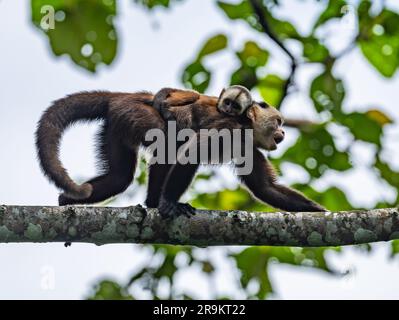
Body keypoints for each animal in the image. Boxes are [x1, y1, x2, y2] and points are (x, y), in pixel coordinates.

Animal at [36, 87, 326, 218]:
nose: (283, 133)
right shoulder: (229, 128)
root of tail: (125, 96)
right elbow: (192, 153)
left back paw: (66, 199)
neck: (246, 125)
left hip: (117, 123)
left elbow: (266, 188)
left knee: (120, 178)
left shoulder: (248, 147)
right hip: (136, 115)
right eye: (278, 122)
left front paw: (317, 210)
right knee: (169, 144)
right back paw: (157, 203)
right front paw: (168, 204)